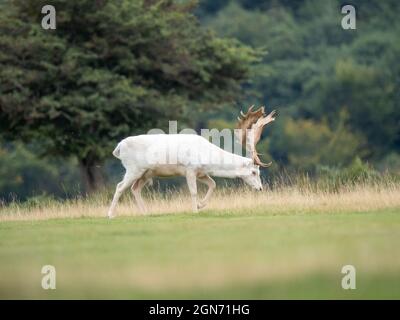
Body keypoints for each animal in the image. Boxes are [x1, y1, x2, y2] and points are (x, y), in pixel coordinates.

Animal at [106, 105, 276, 218]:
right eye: (254, 172)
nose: (260, 188)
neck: (207, 156)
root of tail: (119, 147)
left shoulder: (201, 172)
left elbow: (213, 184)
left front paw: (201, 205)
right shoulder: (189, 169)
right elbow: (193, 191)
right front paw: (195, 210)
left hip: (147, 173)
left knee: (135, 188)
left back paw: (145, 213)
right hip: (133, 168)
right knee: (120, 186)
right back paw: (110, 214)